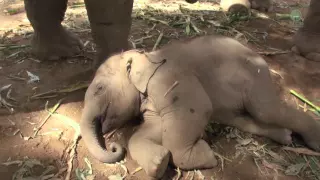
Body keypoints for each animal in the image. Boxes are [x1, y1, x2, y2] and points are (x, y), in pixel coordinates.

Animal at [80, 34, 320, 179]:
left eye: (99, 88)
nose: (113, 146)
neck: (146, 56)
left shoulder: (170, 79)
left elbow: (196, 110)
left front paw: (206, 155)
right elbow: (150, 132)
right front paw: (159, 163)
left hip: (255, 76)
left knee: (266, 109)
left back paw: (313, 141)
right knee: (244, 118)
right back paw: (286, 136)